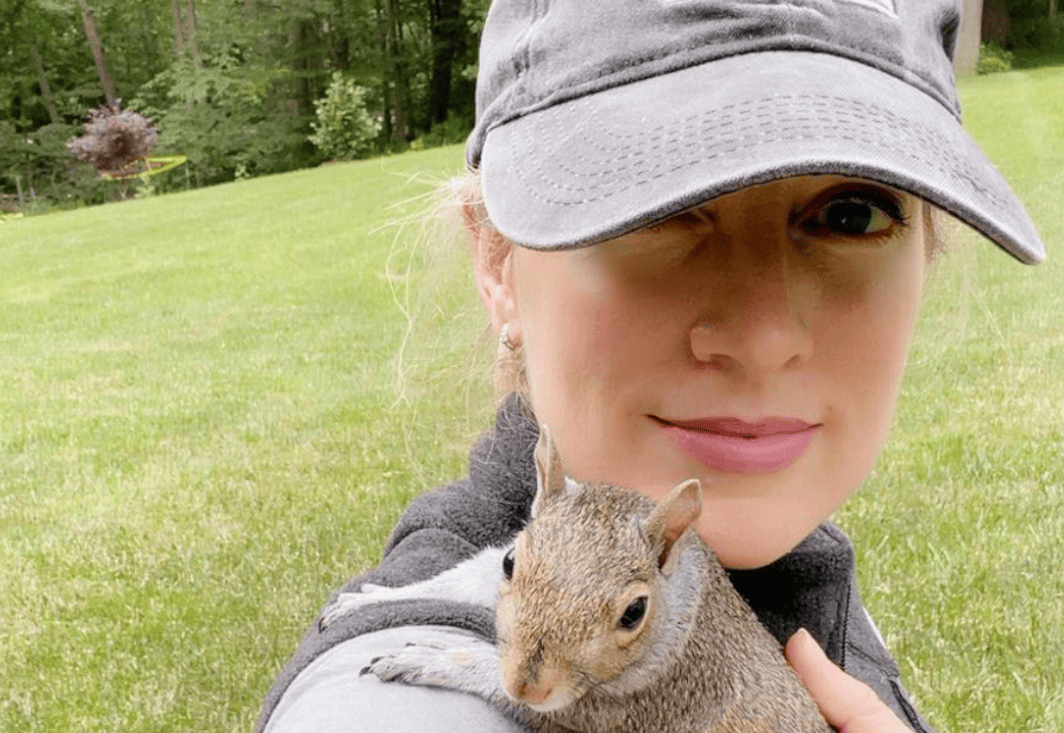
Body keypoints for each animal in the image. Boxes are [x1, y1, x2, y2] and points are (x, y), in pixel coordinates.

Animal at [321, 426, 832, 732]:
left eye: (634, 612)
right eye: (510, 562)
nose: (527, 686)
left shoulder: (642, 701)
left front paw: (441, 659)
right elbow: (455, 581)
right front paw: (367, 600)